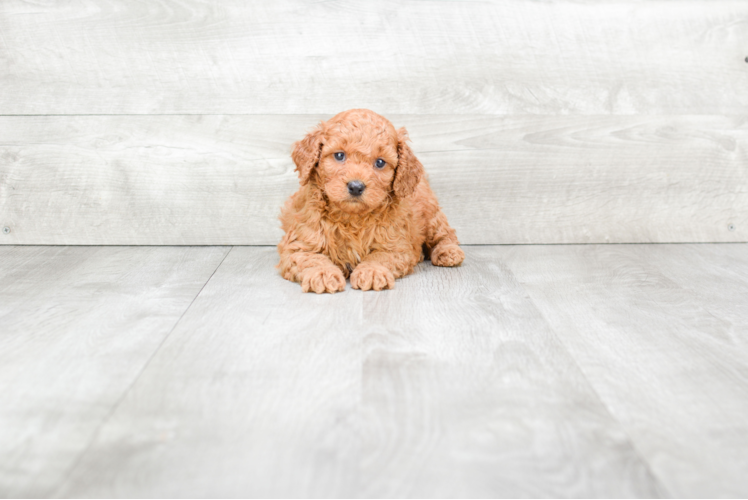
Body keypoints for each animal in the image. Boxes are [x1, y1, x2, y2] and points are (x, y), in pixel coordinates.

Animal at [278, 107, 464, 292]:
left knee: (445, 234)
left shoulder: (395, 246)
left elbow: (379, 257)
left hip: (432, 215)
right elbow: (311, 258)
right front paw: (323, 274)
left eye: (380, 162)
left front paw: (372, 271)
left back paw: (448, 252)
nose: (355, 187)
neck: (352, 218)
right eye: (339, 155)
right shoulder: (300, 244)